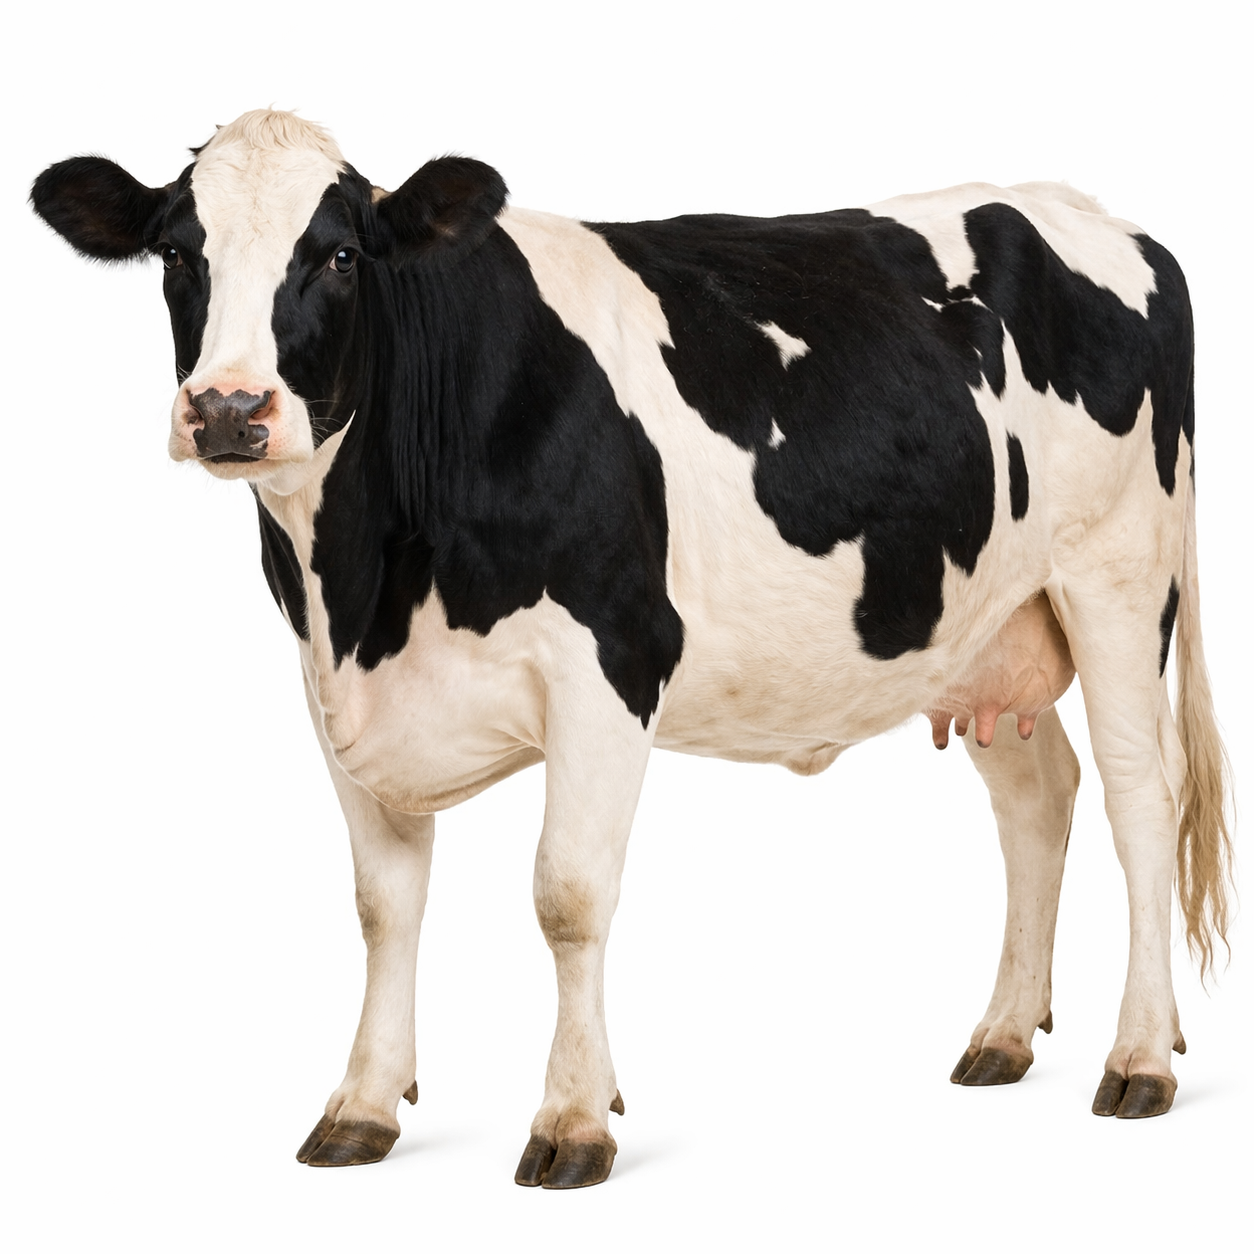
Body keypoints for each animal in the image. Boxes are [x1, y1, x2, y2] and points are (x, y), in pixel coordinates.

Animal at [31, 109, 1231, 1189]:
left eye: (335, 254)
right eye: (178, 254)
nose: (229, 410)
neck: (369, 587)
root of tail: (1093, 214)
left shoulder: (608, 666)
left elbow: (566, 894)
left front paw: (572, 1120)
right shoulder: (334, 689)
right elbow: (383, 904)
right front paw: (362, 1106)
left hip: (1119, 580)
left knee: (1140, 795)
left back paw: (1138, 1058)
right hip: (981, 624)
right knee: (1039, 797)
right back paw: (1003, 1036)